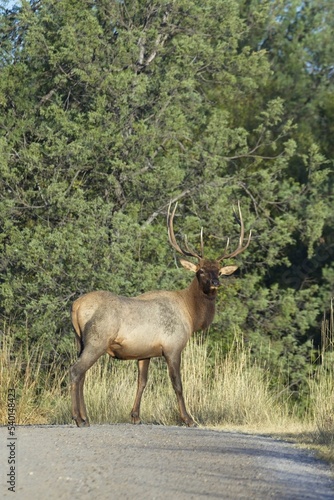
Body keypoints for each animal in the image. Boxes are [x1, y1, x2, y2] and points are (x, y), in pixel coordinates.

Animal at [70, 201, 250, 428]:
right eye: (200, 271)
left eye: (218, 271)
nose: (215, 283)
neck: (191, 315)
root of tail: (76, 307)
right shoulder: (173, 346)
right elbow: (178, 384)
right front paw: (188, 419)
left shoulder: (144, 352)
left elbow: (142, 382)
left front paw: (135, 416)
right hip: (97, 340)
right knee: (76, 371)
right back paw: (78, 418)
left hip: (81, 341)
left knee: (82, 374)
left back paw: (84, 417)